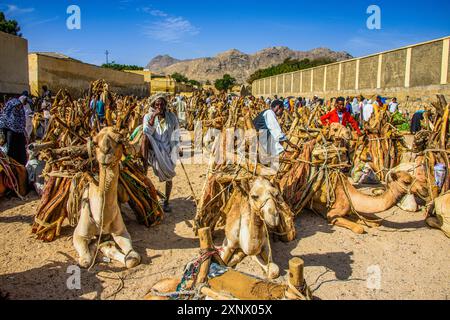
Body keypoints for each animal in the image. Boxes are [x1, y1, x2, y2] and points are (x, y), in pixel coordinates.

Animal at [72, 126, 141, 268]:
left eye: (119, 140)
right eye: (95, 143)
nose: (105, 153)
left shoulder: (121, 231)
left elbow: (132, 259)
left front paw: (105, 246)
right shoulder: (79, 234)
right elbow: (85, 261)